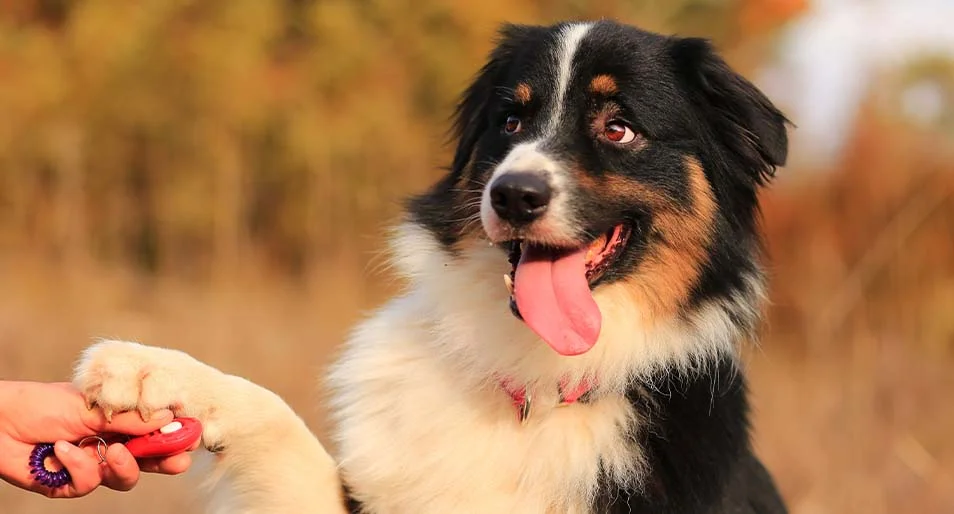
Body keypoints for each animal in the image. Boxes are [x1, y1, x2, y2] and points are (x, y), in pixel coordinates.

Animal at [70, 20, 788, 512]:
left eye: (619, 128)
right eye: (510, 119)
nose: (513, 195)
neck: (539, 386)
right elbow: (276, 415)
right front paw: (150, 369)